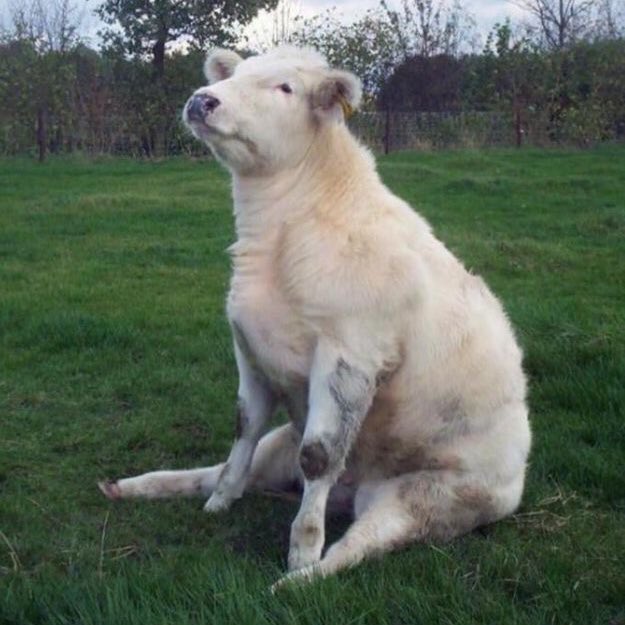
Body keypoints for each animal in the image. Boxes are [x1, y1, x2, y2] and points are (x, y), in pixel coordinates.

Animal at [98, 46, 532, 588]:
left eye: (286, 87)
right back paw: (140, 487)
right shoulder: (249, 347)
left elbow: (320, 456)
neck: (277, 245)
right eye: (236, 74)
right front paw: (221, 500)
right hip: (282, 446)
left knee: (361, 544)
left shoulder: (350, 355)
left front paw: (302, 550)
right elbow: (243, 427)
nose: (203, 99)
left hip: (431, 498)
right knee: (219, 469)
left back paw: (298, 583)